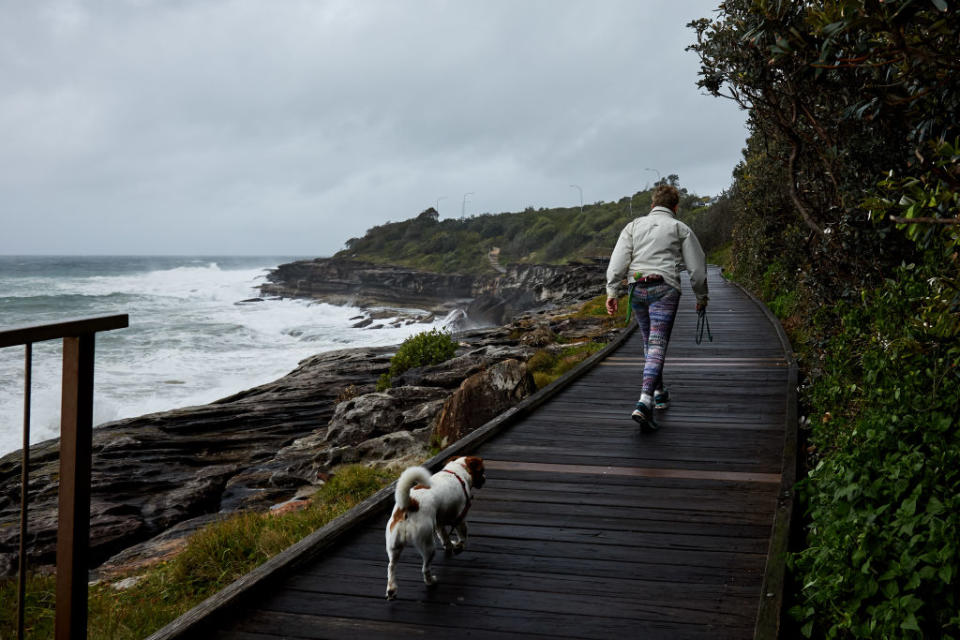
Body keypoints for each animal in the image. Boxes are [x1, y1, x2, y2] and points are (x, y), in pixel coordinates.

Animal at [384, 456, 484, 600]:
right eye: (482, 471)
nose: (485, 479)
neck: (457, 471)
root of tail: (410, 504)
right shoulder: (460, 518)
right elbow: (463, 537)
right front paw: (458, 547)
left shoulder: (439, 524)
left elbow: (445, 537)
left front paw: (450, 546)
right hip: (428, 546)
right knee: (425, 568)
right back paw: (431, 582)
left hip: (394, 546)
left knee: (391, 567)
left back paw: (391, 589)